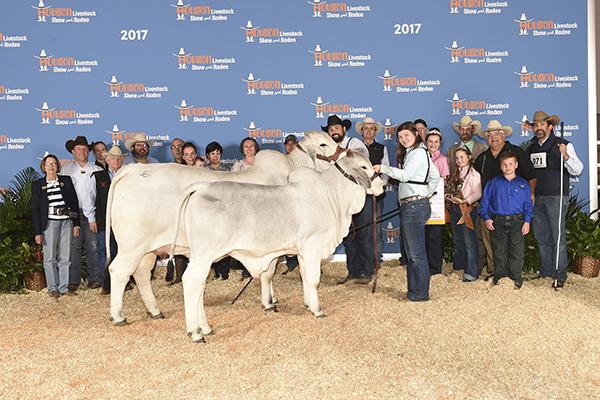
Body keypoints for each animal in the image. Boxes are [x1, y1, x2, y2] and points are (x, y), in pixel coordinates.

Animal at [107, 131, 340, 324]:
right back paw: (119, 316)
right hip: (132, 246)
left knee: (141, 274)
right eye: (323, 144)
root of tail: (133, 169)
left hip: (147, 250)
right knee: (118, 271)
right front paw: (269, 303)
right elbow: (269, 273)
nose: (342, 153)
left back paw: (155, 311)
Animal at [171, 152, 384, 342]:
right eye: (364, 167)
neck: (330, 196)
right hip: (203, 255)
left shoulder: (302, 251)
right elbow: (314, 280)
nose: (382, 186)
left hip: (201, 257)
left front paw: (308, 305)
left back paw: (205, 328)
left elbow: (305, 277)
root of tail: (202, 187)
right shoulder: (313, 246)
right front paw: (318, 310)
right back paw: (196, 333)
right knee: (191, 282)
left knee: (199, 286)